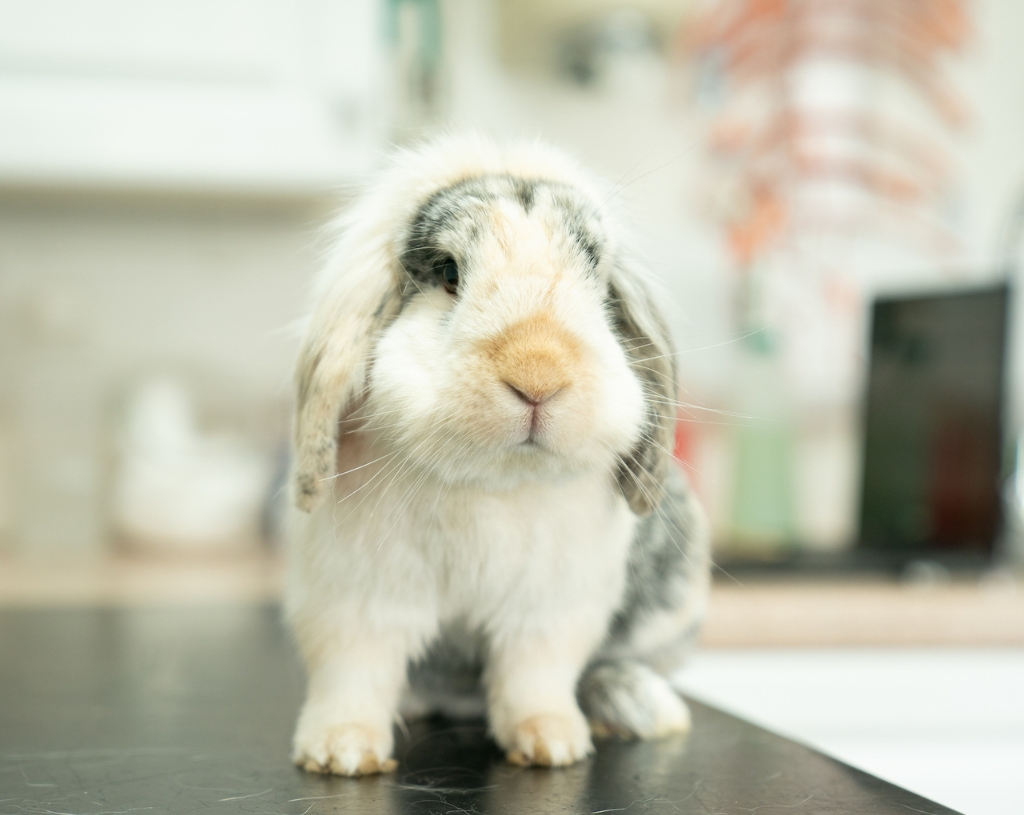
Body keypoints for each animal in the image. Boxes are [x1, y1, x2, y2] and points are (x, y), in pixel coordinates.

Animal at [285, 134, 711, 777]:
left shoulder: (545, 611)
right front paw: (342, 753)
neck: (492, 481)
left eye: (598, 279)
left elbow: (534, 678)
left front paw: (552, 745)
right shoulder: (358, 600)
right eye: (448, 273)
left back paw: (634, 705)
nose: (538, 376)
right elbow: (354, 673)